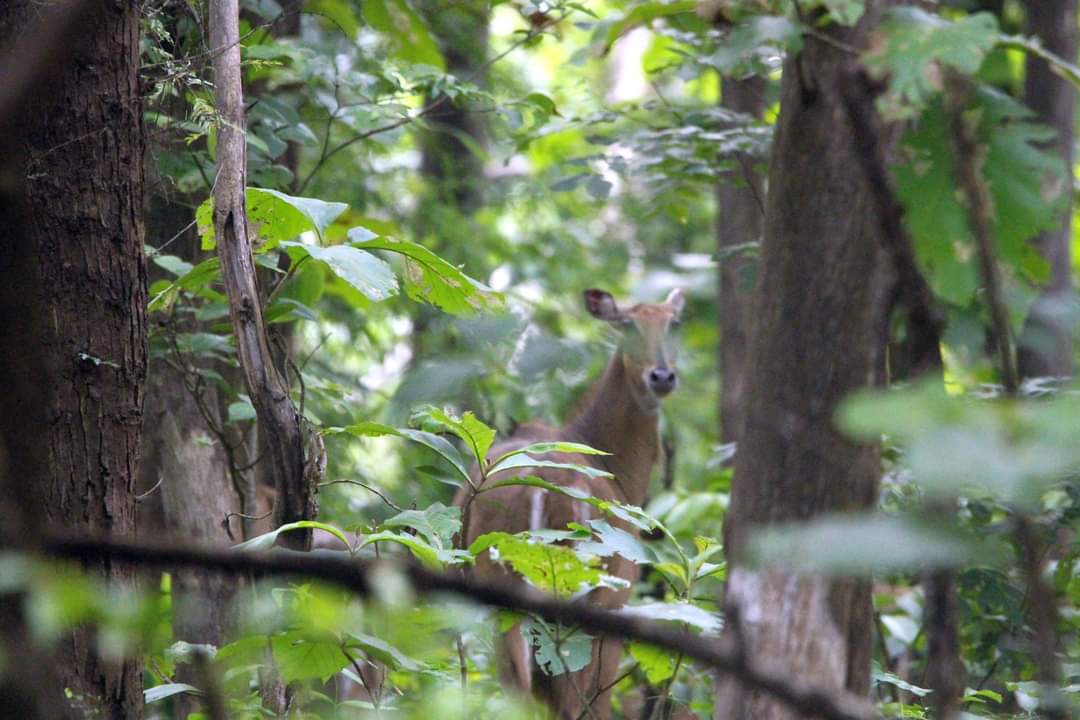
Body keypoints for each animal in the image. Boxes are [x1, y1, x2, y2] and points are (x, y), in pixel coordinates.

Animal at [454, 287, 685, 720]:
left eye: (673, 323)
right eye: (627, 323)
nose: (662, 376)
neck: (618, 468)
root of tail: (544, 489)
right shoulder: (615, 604)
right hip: (581, 601)